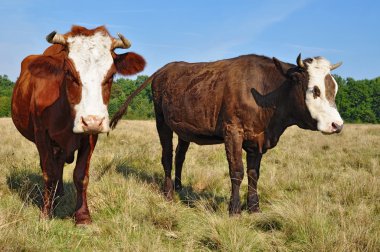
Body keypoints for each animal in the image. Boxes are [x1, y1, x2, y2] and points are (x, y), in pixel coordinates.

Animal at [11, 25, 145, 223]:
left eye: (112, 75)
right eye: (69, 73)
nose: (92, 121)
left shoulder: (90, 136)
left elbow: (81, 175)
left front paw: (82, 216)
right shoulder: (42, 134)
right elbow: (48, 172)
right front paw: (46, 212)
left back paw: (58, 194)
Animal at [109, 53, 342, 215]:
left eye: (335, 89)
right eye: (315, 90)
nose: (337, 125)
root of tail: (166, 68)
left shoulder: (256, 139)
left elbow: (254, 173)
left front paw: (254, 208)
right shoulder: (233, 131)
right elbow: (237, 171)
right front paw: (235, 209)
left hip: (184, 128)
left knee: (179, 157)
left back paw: (179, 188)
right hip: (161, 121)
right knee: (166, 156)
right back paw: (168, 194)